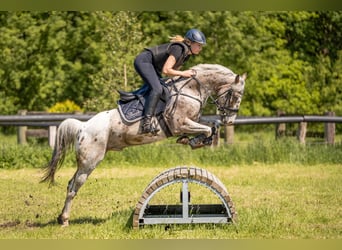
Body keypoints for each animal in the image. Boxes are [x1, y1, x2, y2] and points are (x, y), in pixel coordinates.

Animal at [41, 63, 247, 227]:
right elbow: (206, 129)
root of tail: (82, 127)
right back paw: (64, 220)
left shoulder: (193, 120)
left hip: (85, 162)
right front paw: (194, 141)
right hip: (90, 162)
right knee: (73, 187)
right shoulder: (180, 123)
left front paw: (194, 140)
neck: (192, 89)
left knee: (70, 184)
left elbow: (212, 126)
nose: (230, 120)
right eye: (234, 95)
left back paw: (61, 218)